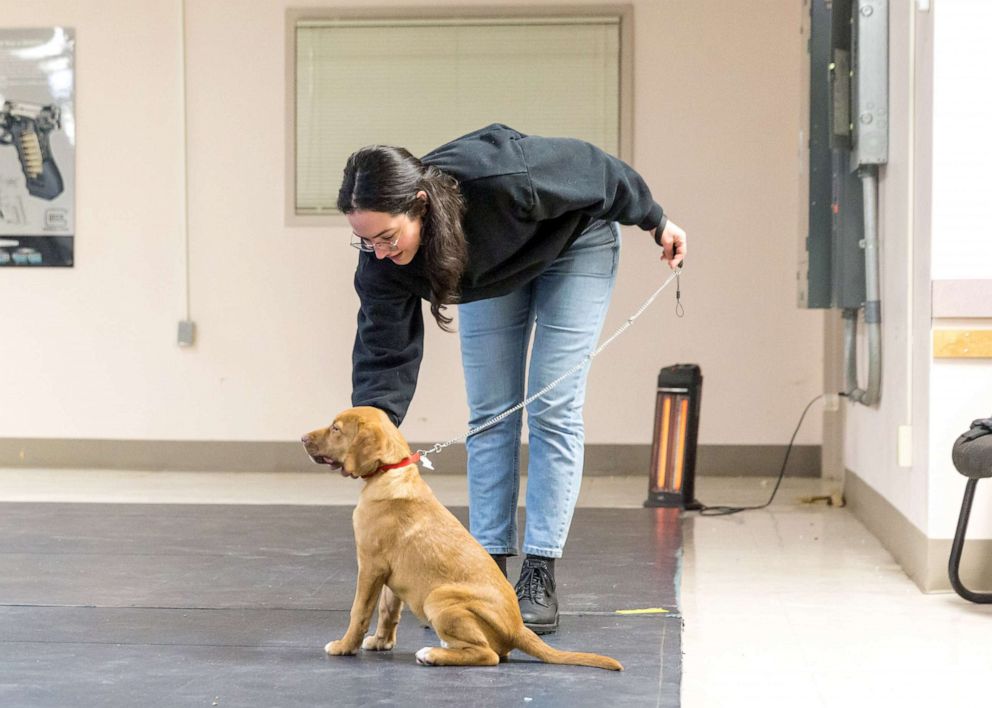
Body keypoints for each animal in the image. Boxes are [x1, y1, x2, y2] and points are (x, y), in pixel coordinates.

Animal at [300, 406, 620, 672]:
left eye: (336, 429)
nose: (302, 437)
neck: (389, 473)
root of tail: (517, 628)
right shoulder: (389, 574)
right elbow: (388, 610)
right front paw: (381, 642)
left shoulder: (370, 566)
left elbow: (359, 611)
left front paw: (344, 647)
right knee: (493, 652)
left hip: (438, 598)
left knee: (488, 655)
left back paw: (432, 654)